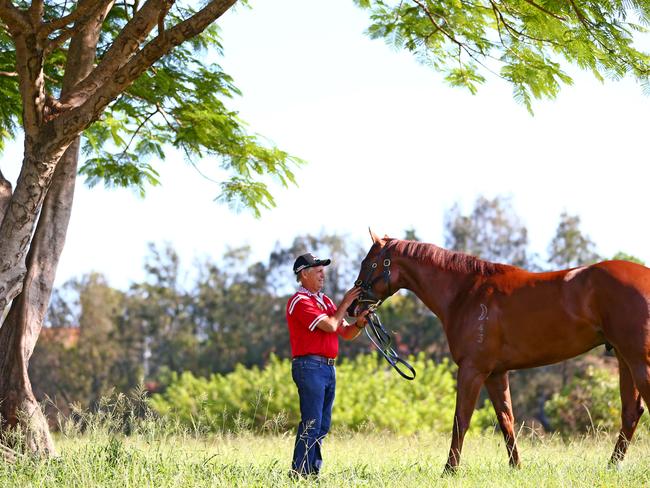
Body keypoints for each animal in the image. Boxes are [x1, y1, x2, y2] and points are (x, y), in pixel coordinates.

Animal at [350, 232, 648, 472]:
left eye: (370, 263)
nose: (354, 308)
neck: (466, 292)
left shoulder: (472, 369)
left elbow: (461, 420)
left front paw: (449, 470)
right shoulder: (495, 373)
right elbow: (506, 420)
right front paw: (516, 467)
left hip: (638, 360)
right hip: (624, 358)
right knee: (631, 412)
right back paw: (611, 466)